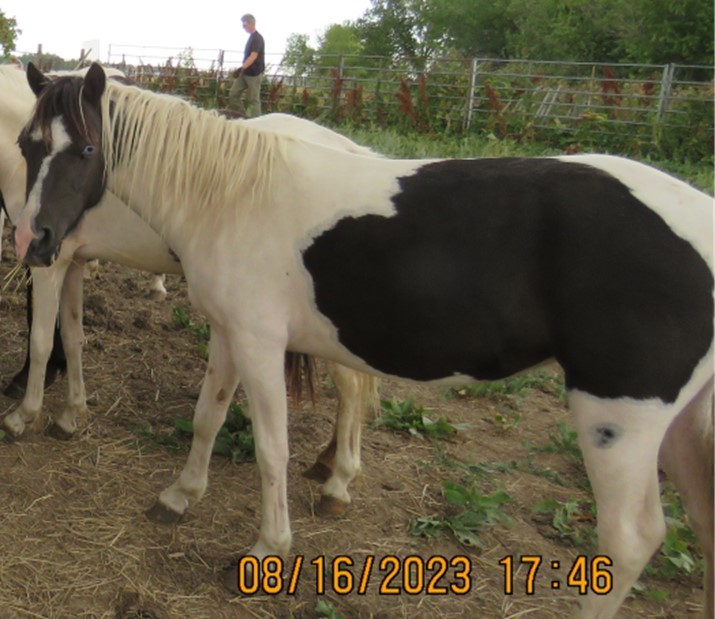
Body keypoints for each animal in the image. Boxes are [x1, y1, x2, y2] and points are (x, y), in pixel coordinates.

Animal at [0, 62, 378, 516]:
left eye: (85, 150)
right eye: (26, 145)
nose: (28, 234)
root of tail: (353, 153)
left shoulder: (51, 262)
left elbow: (40, 340)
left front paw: (23, 413)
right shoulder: (71, 260)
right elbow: (73, 338)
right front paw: (72, 414)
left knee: (350, 386)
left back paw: (338, 480)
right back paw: (328, 464)